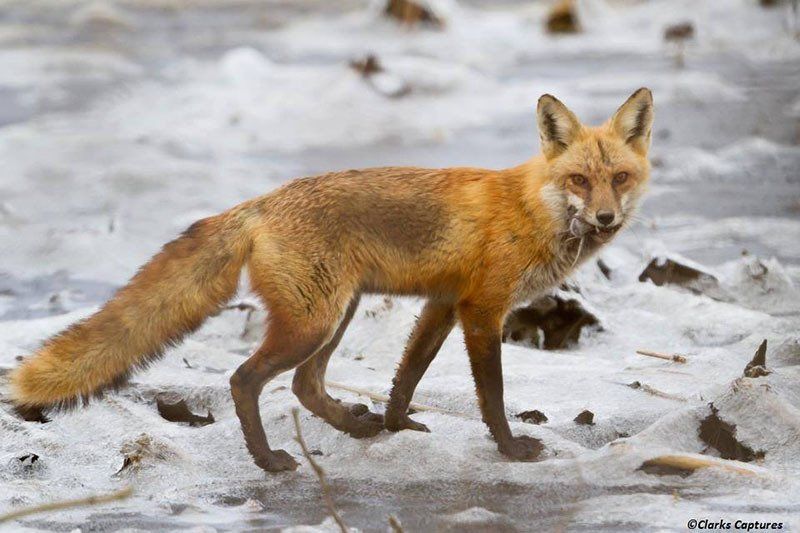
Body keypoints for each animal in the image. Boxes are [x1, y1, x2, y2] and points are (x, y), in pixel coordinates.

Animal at [9, 88, 653, 472]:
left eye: (619, 178)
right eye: (578, 179)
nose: (605, 219)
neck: (532, 209)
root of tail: (261, 202)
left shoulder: (443, 303)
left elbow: (406, 376)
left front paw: (396, 426)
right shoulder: (481, 309)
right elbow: (491, 395)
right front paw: (512, 449)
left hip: (336, 314)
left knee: (304, 386)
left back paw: (354, 428)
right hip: (314, 321)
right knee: (246, 380)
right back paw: (268, 460)